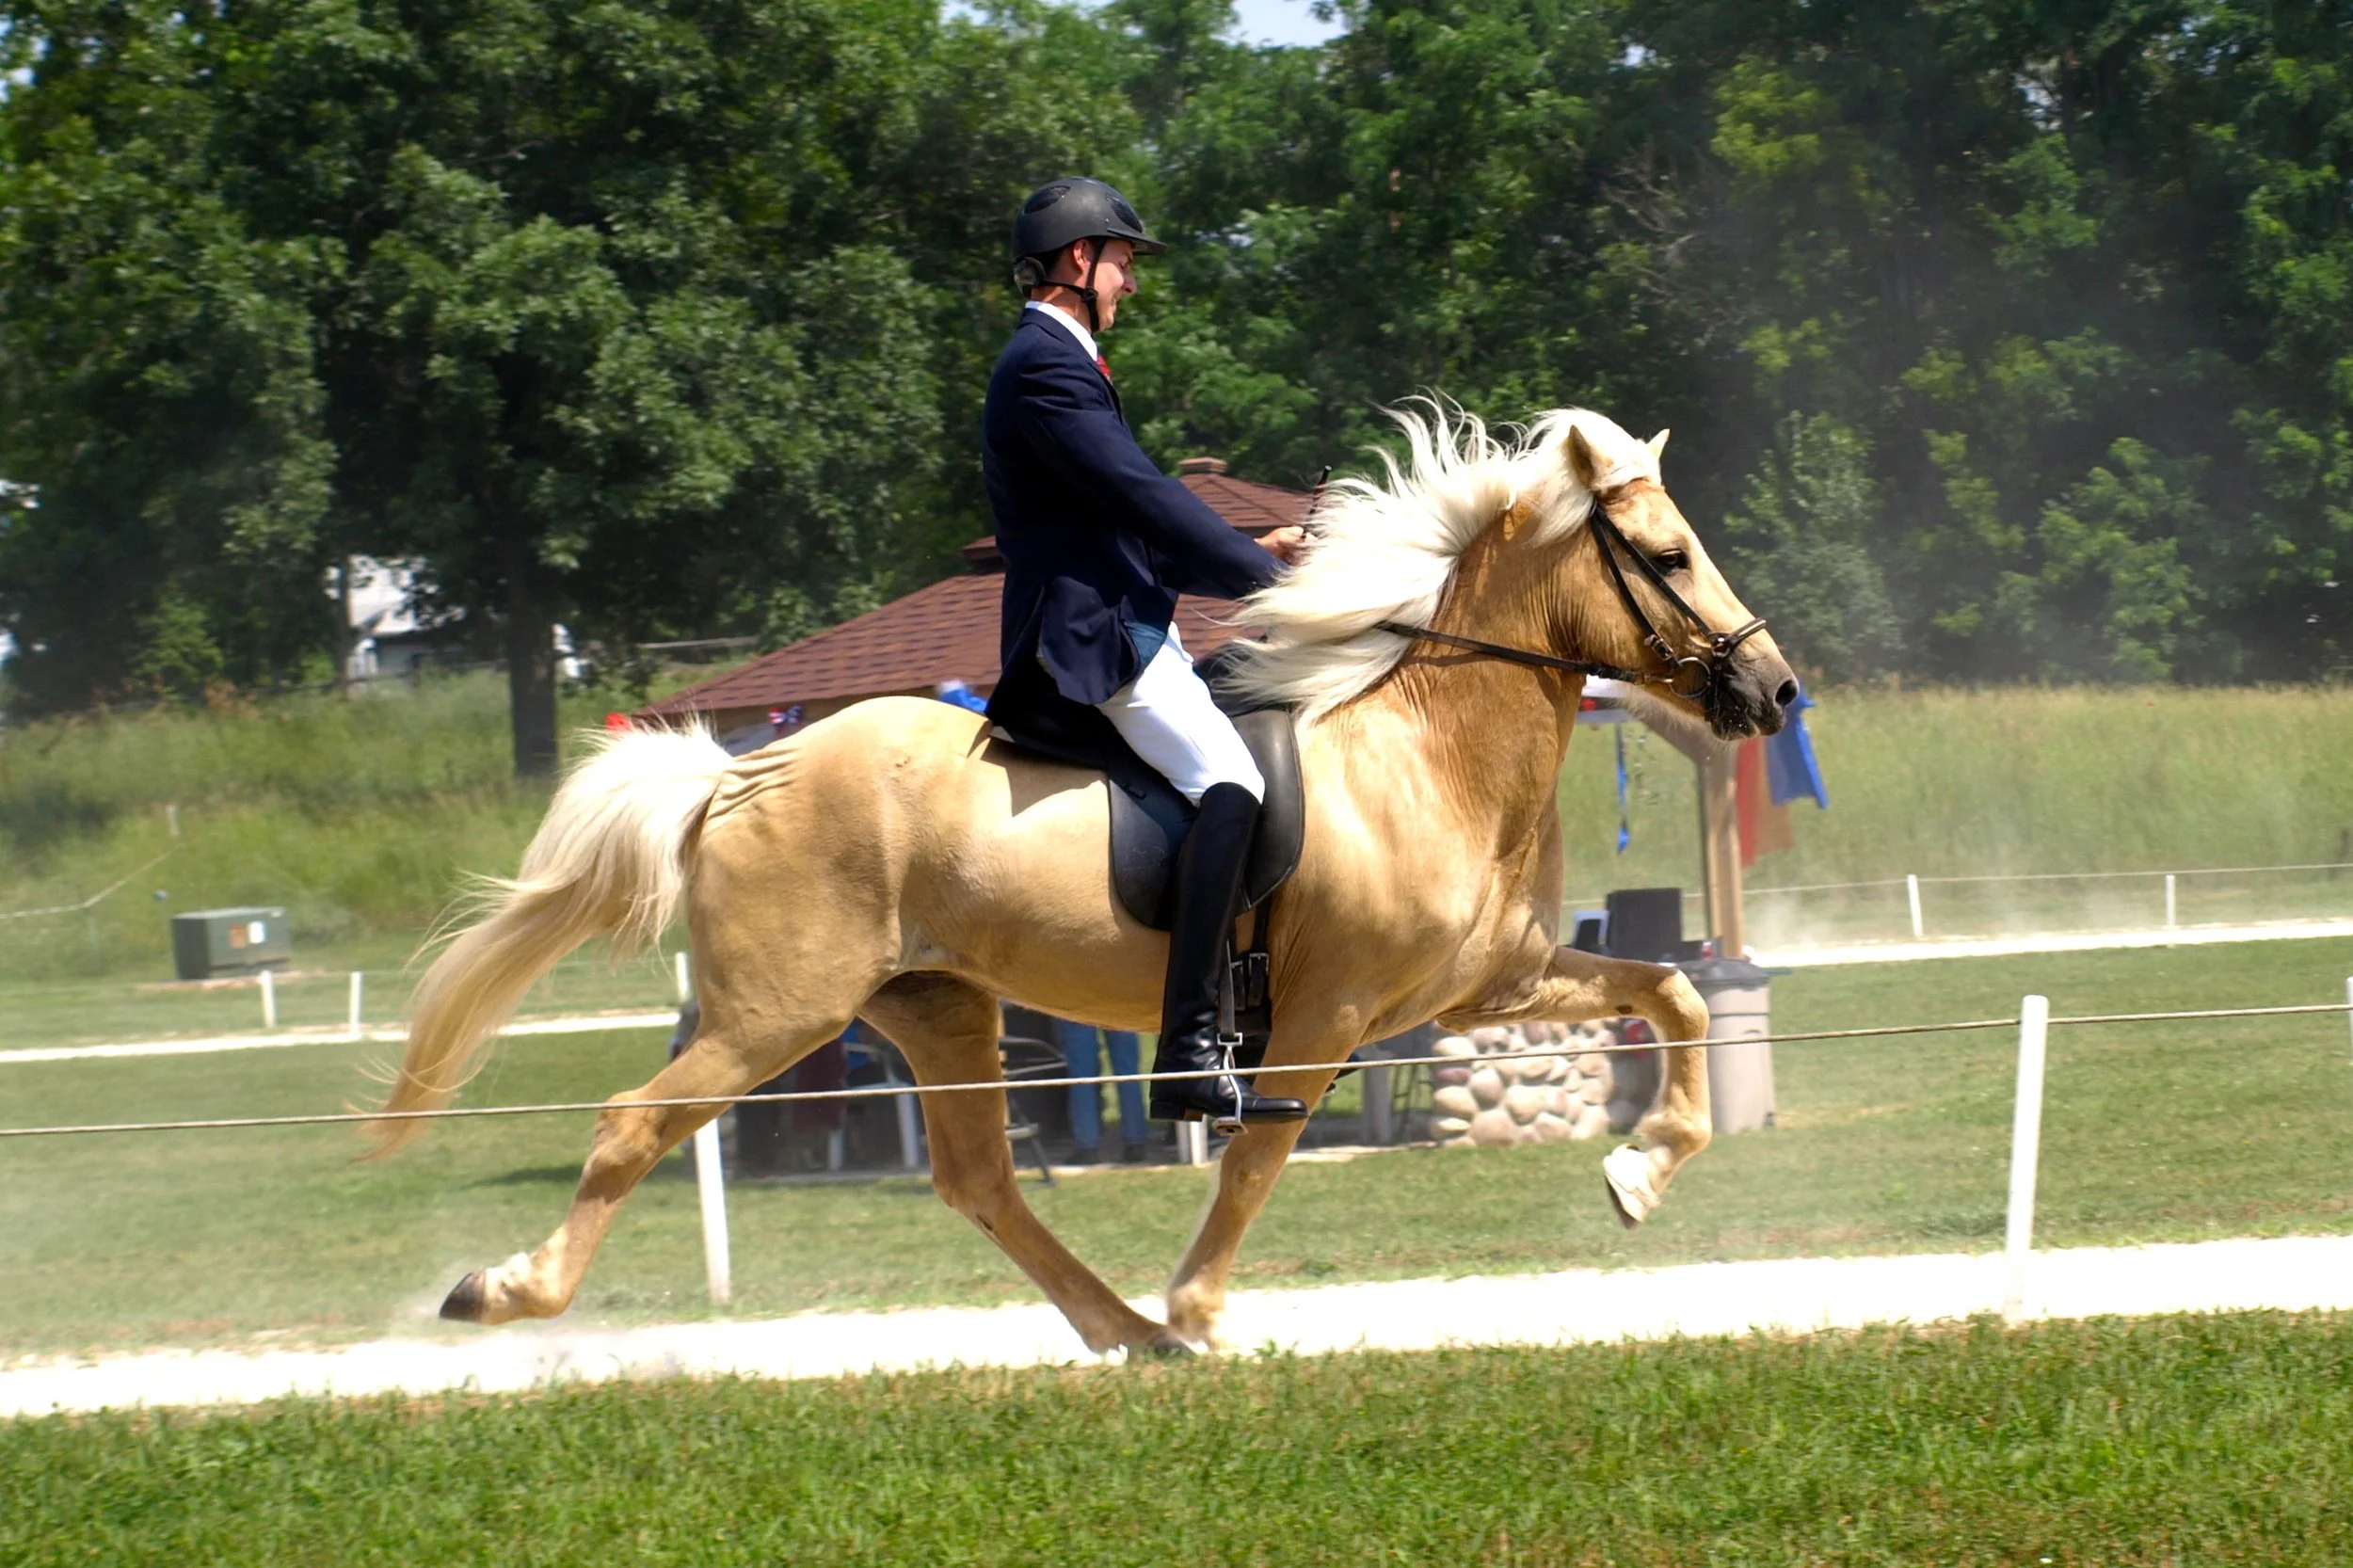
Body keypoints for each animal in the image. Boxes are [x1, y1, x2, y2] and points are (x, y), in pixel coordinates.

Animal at [371, 405, 1797, 1357]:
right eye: (1669, 557)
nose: (1774, 689)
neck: (1426, 746)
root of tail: (741, 772)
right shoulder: (1327, 1018)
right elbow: (1253, 1160)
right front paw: (1203, 1304)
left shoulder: (1483, 985)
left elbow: (1670, 991)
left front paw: (1640, 1172)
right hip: (778, 1013)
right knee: (632, 1121)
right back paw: (504, 1292)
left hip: (936, 1009)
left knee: (981, 1182)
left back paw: (1122, 1333)